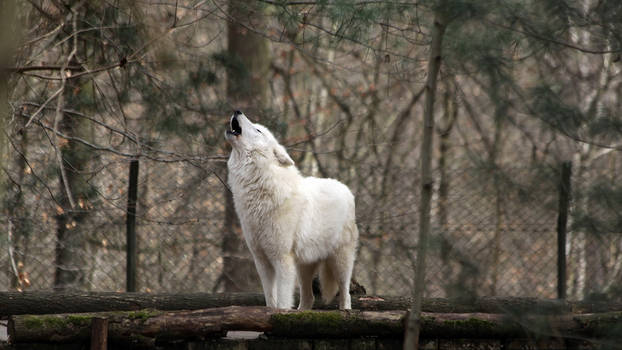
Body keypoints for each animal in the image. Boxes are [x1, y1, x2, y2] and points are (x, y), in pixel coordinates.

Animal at [227, 110, 358, 308]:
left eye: (258, 130)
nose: (237, 111)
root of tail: (346, 188)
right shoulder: (261, 261)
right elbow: (271, 302)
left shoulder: (282, 260)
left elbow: (282, 303)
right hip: (304, 266)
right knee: (309, 298)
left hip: (340, 261)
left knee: (345, 294)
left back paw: (346, 310)